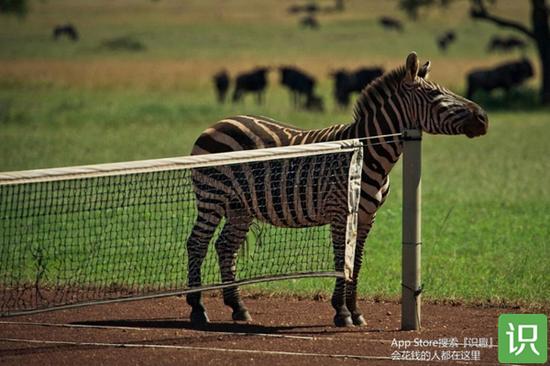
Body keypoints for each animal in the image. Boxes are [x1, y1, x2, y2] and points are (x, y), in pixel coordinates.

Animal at [188, 51, 490, 326]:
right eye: (435, 95)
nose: (484, 118)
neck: (370, 154)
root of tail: (218, 123)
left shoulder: (367, 217)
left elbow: (355, 261)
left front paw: (355, 312)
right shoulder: (339, 212)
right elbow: (339, 261)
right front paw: (342, 312)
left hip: (240, 206)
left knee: (225, 246)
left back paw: (238, 307)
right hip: (212, 195)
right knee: (197, 243)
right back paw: (197, 308)